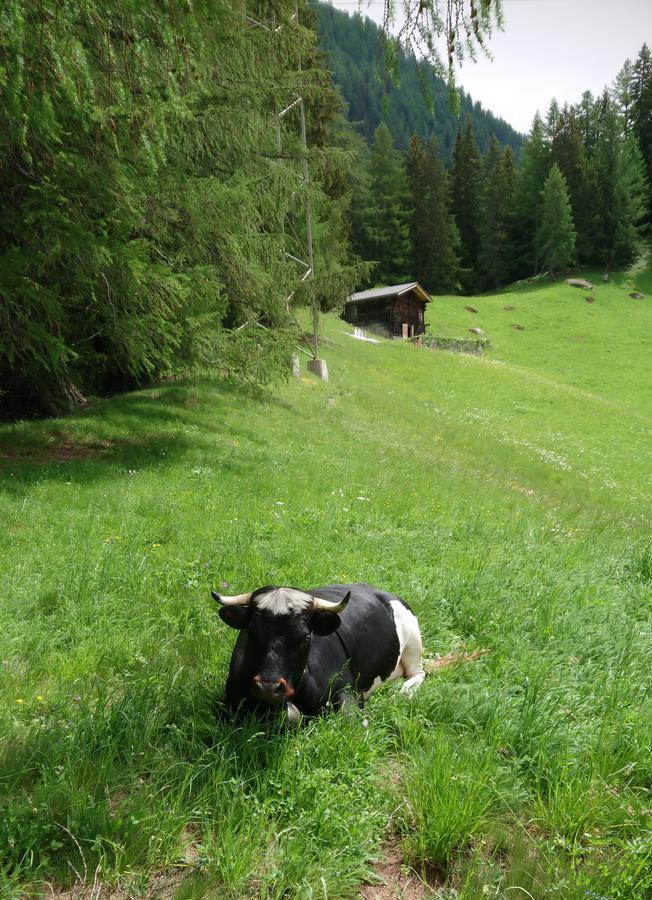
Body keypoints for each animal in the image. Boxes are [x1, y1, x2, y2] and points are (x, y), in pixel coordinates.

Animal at [211, 584, 426, 724]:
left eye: (305, 637)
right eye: (251, 631)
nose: (268, 687)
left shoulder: (348, 689)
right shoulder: (229, 702)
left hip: (413, 641)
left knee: (418, 673)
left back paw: (403, 692)